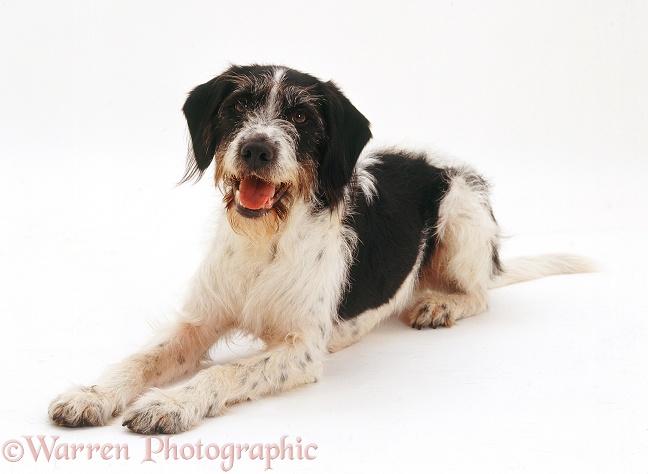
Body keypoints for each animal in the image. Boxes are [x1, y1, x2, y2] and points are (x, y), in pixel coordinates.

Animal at [48, 65, 592, 434]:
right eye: (237, 106)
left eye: (301, 115)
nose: (257, 148)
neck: (265, 242)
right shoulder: (197, 323)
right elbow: (139, 360)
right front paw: (92, 395)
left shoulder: (301, 349)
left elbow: (228, 371)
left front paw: (171, 404)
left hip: (460, 206)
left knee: (480, 294)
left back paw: (440, 304)